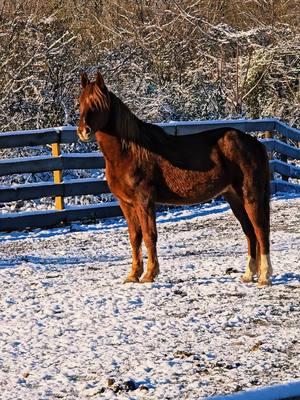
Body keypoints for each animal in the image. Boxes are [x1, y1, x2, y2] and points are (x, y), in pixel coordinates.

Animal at [77, 71, 272, 284]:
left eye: (98, 103)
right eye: (80, 102)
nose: (83, 131)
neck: (129, 152)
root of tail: (255, 143)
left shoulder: (144, 201)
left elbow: (149, 235)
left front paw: (149, 274)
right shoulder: (126, 203)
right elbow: (134, 237)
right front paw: (133, 275)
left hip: (250, 196)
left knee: (260, 230)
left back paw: (264, 276)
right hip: (235, 198)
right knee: (250, 232)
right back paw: (249, 274)